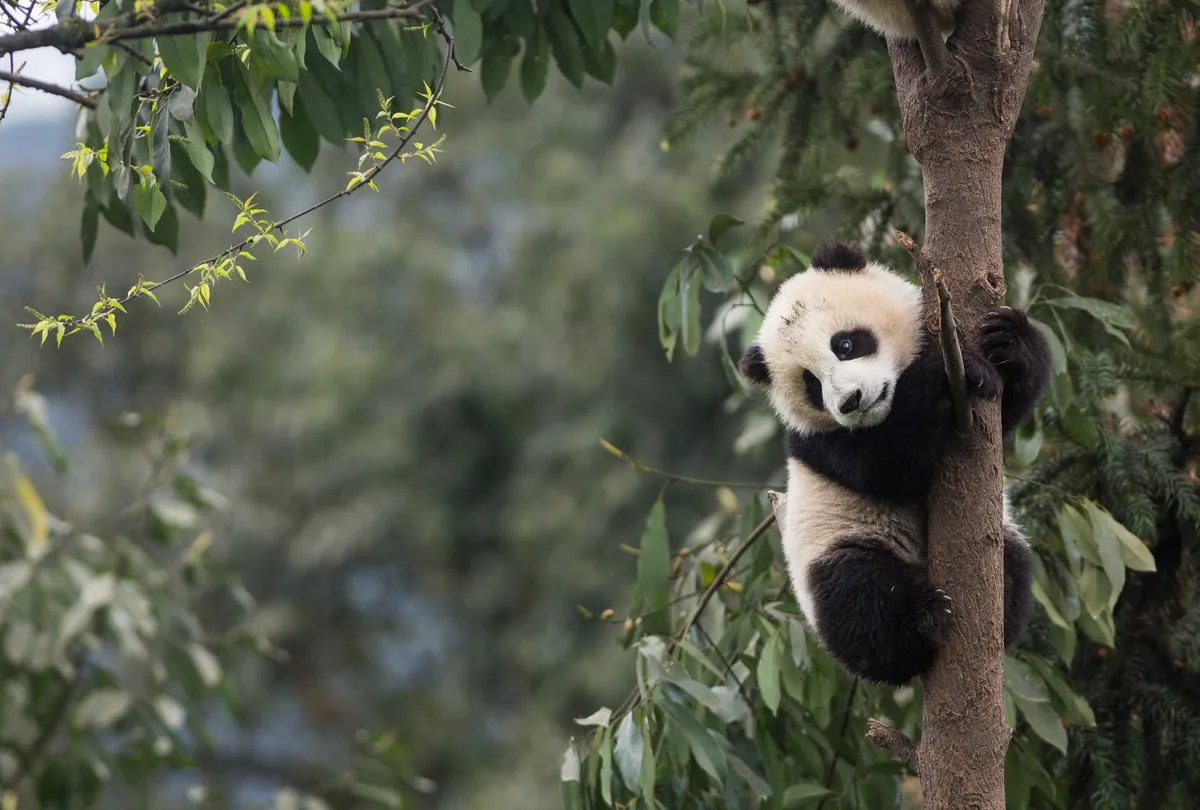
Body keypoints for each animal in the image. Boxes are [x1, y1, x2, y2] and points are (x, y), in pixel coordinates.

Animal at [739, 239, 1050, 685]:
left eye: (845, 344)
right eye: (811, 384)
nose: (850, 402)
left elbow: (1008, 411)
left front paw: (1008, 340)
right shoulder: (819, 442)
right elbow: (887, 465)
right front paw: (942, 376)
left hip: (1005, 533)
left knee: (1016, 560)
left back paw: (1001, 612)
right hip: (838, 546)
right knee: (857, 597)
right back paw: (921, 622)